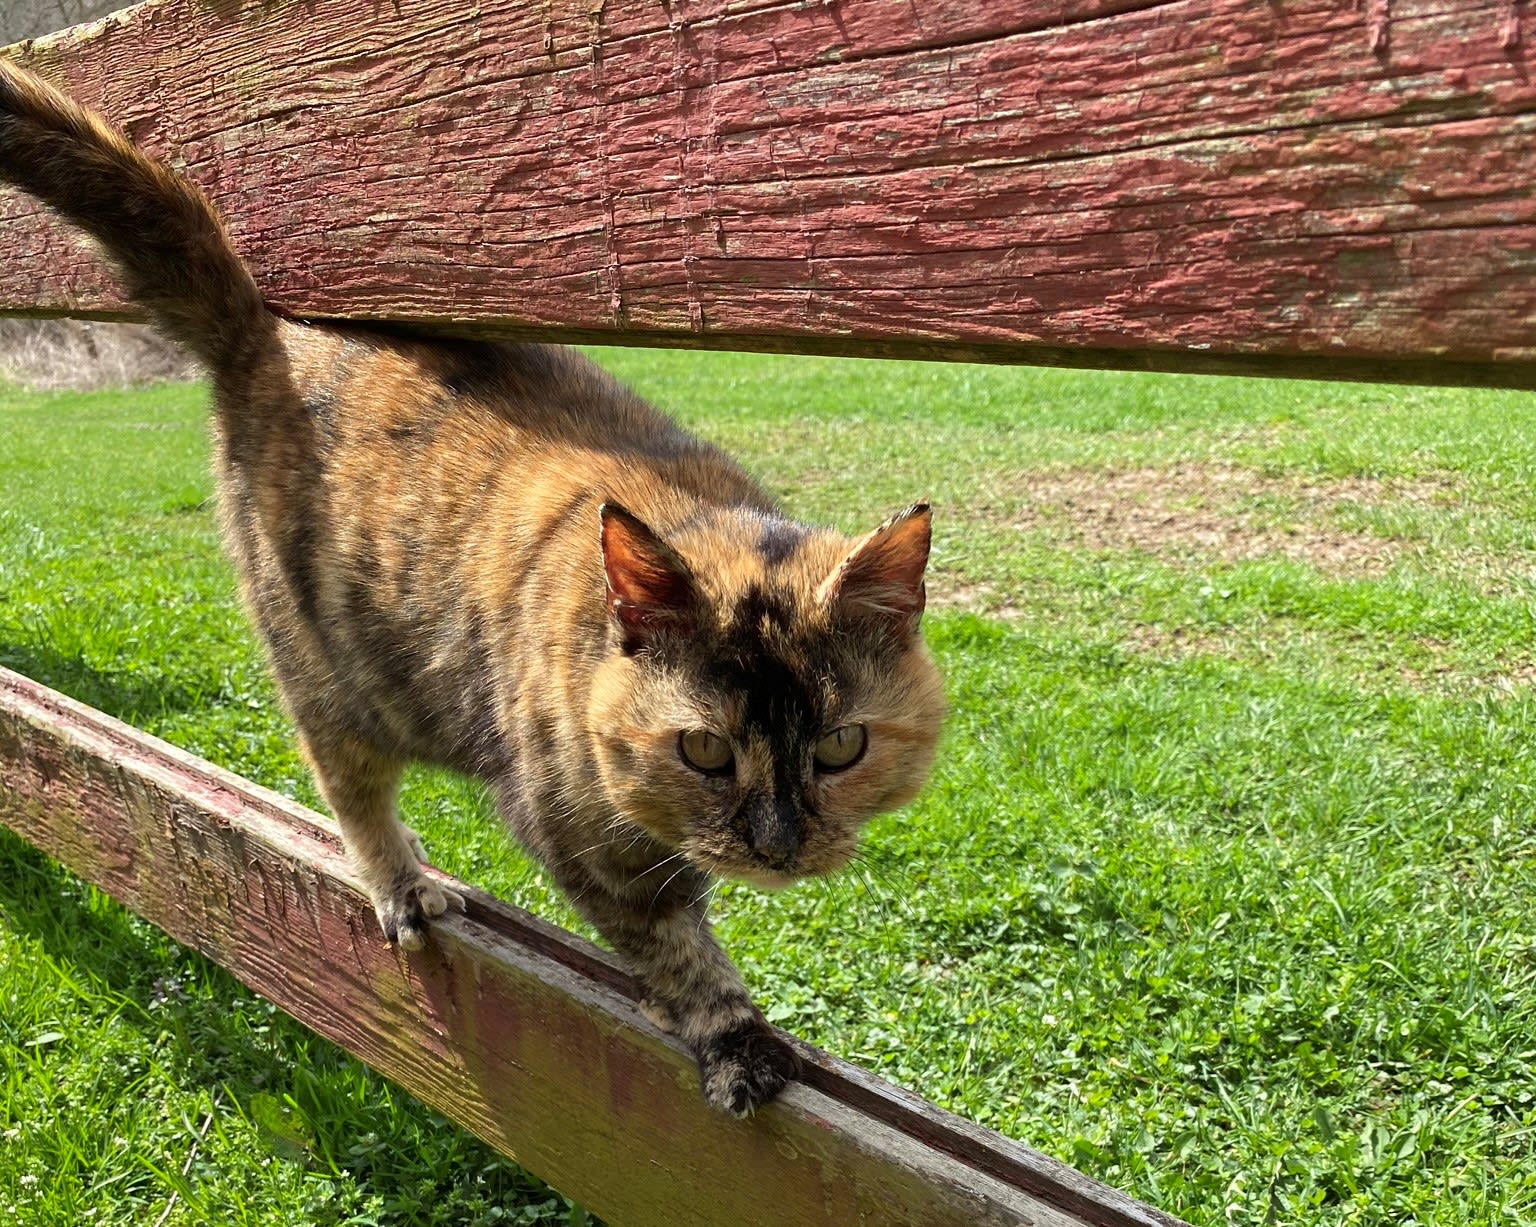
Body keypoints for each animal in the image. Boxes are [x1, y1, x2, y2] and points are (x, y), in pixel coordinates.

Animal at [0, 57, 946, 1117]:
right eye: (703, 749)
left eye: (841, 745)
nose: (779, 845)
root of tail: (264, 327)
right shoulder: (579, 837)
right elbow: (672, 941)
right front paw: (733, 1036)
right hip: (330, 674)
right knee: (350, 784)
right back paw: (402, 880)